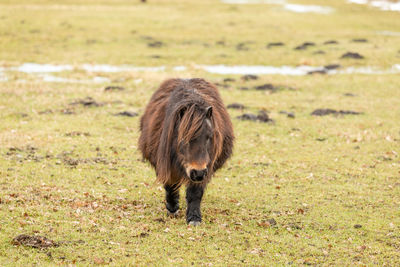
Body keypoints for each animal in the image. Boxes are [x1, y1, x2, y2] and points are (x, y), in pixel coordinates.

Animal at [139, 78, 234, 226]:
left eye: (209, 136)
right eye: (183, 138)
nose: (198, 173)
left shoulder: (205, 168)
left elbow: (195, 193)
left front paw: (194, 218)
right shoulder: (167, 164)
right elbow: (171, 185)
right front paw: (172, 209)